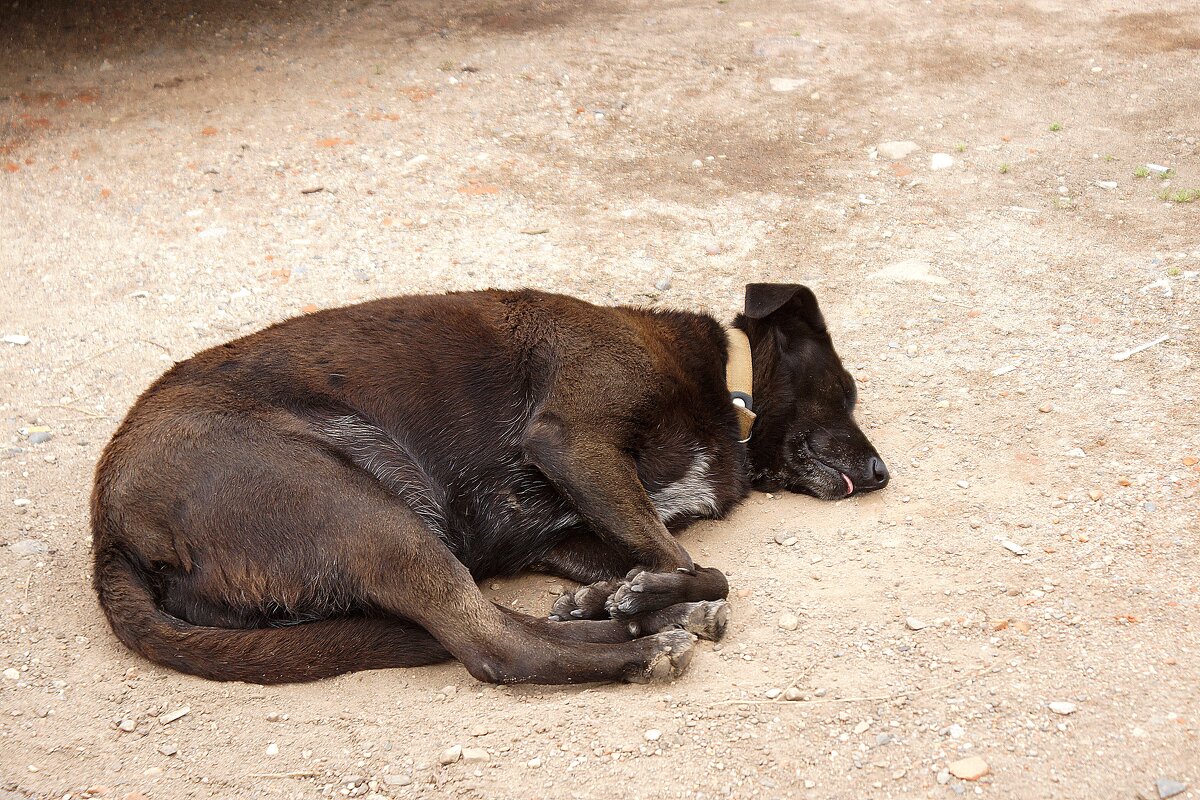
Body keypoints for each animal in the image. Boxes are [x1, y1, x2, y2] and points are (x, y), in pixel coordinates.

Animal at [91, 284, 883, 686]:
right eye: (845, 391)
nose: (882, 474)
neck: (727, 396)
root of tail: (107, 530)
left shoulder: (558, 533)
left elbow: (672, 564)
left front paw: (619, 596)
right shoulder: (573, 441)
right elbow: (696, 566)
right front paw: (647, 598)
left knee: (497, 624)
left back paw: (627, 622)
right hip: (367, 513)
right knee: (492, 646)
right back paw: (638, 648)